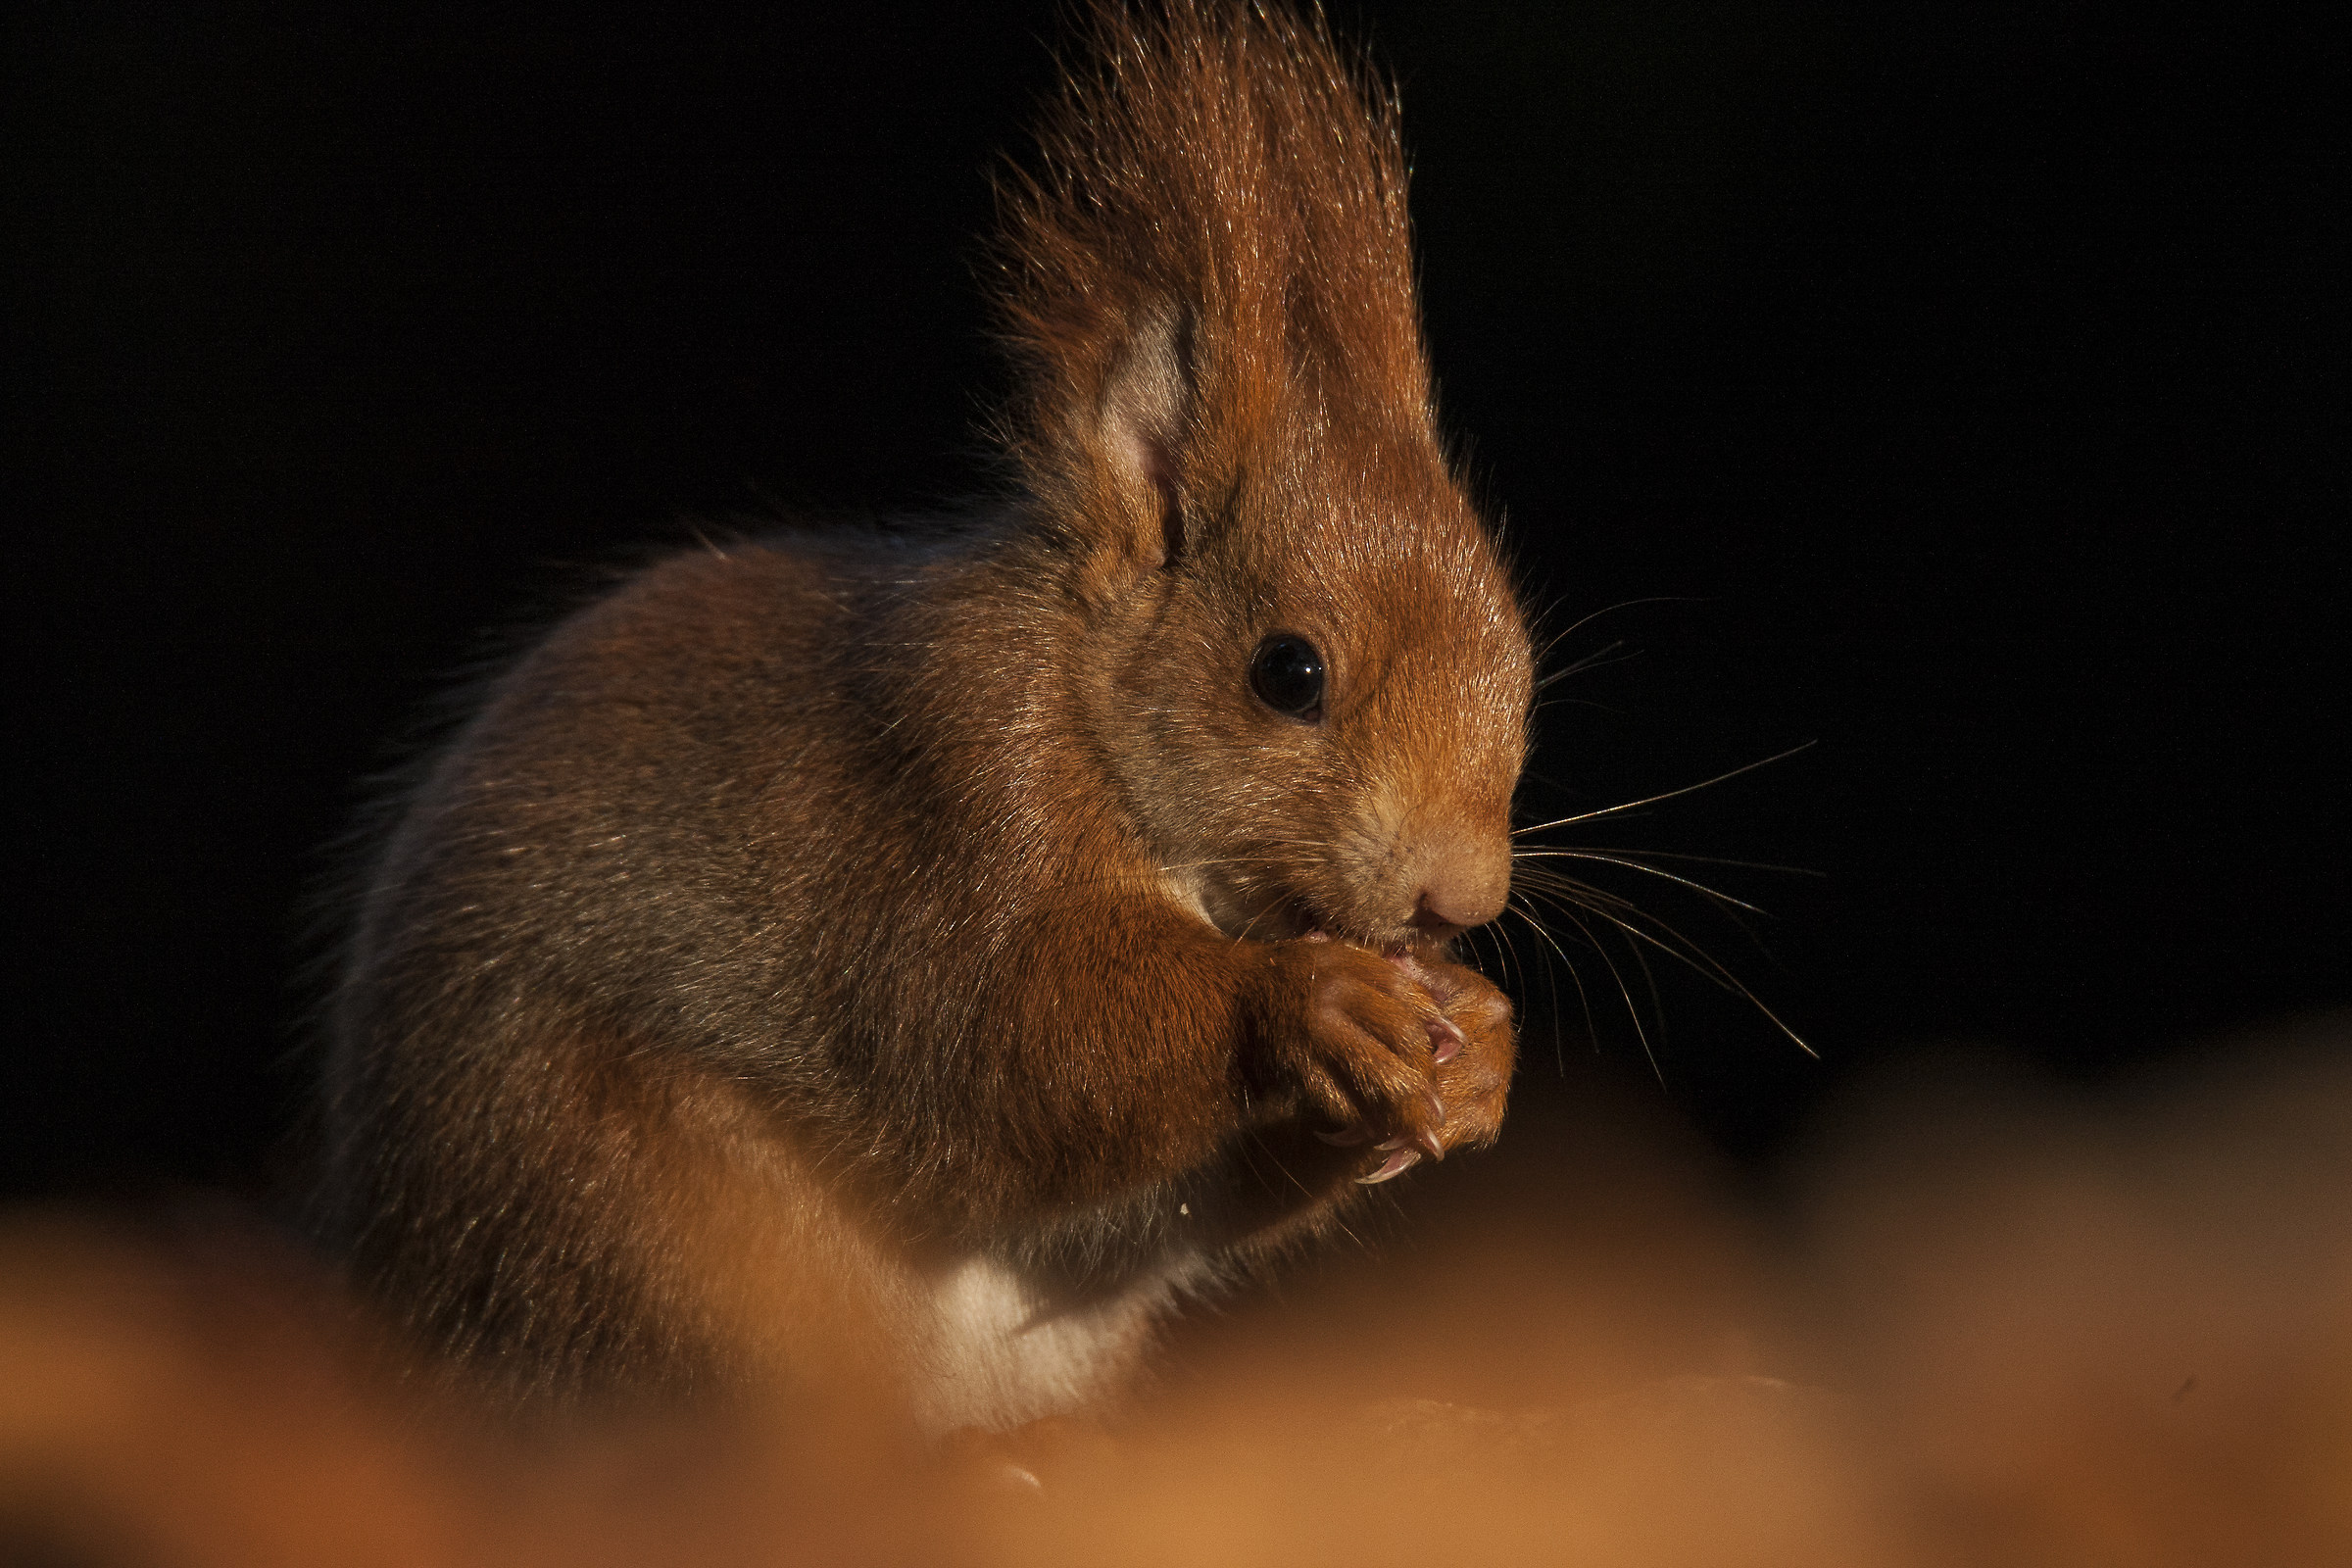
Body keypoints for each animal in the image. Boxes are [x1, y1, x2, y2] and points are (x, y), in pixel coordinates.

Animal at [313, 0, 1532, 1437]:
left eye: (1521, 667)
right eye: (1287, 675)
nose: (1462, 897)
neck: (1086, 705)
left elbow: (1160, 1199)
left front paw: (1480, 1047)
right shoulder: (954, 779)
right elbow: (1003, 1046)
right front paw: (1306, 1001)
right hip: (643, 1222)